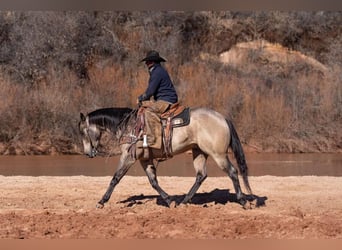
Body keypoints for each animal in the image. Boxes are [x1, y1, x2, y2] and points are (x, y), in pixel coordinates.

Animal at [78, 106, 254, 208]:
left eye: (83, 131)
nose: (88, 153)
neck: (128, 125)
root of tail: (222, 118)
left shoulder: (128, 157)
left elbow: (115, 178)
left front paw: (102, 201)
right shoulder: (144, 160)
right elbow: (153, 181)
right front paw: (169, 201)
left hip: (218, 155)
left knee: (232, 172)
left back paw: (243, 201)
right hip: (199, 152)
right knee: (201, 175)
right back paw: (184, 201)